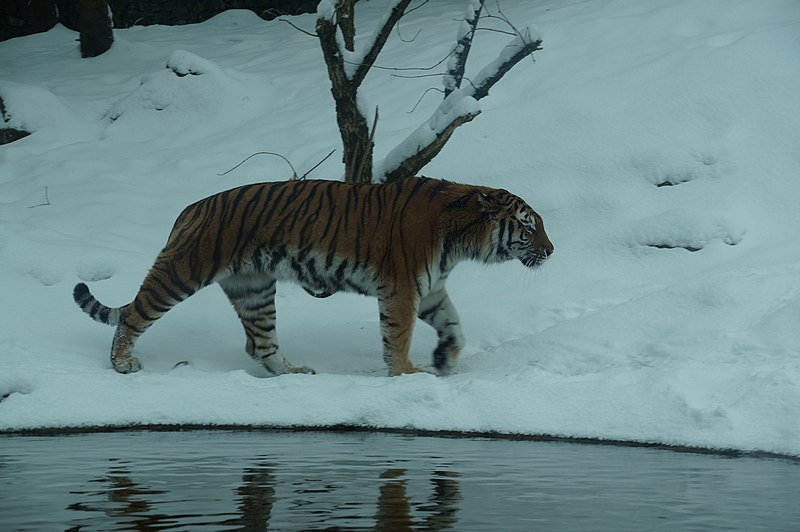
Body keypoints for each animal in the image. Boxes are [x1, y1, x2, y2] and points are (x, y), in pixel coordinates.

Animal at [73, 179, 552, 378]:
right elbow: (397, 336)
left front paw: (445, 360)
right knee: (132, 315)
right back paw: (122, 363)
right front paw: (406, 373)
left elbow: (454, 325)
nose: (551, 251)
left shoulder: (430, 288)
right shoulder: (402, 288)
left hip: (253, 288)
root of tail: (191, 208)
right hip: (184, 270)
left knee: (259, 343)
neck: (460, 238)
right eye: (529, 228)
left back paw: (293, 372)